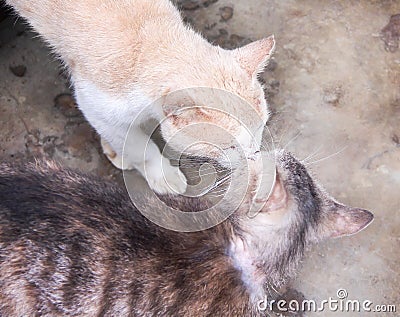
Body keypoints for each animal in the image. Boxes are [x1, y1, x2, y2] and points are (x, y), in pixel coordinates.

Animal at [7, 0, 276, 193]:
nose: (254, 157)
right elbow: (140, 148)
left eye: (260, 129)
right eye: (230, 146)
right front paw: (160, 174)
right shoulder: (92, 103)